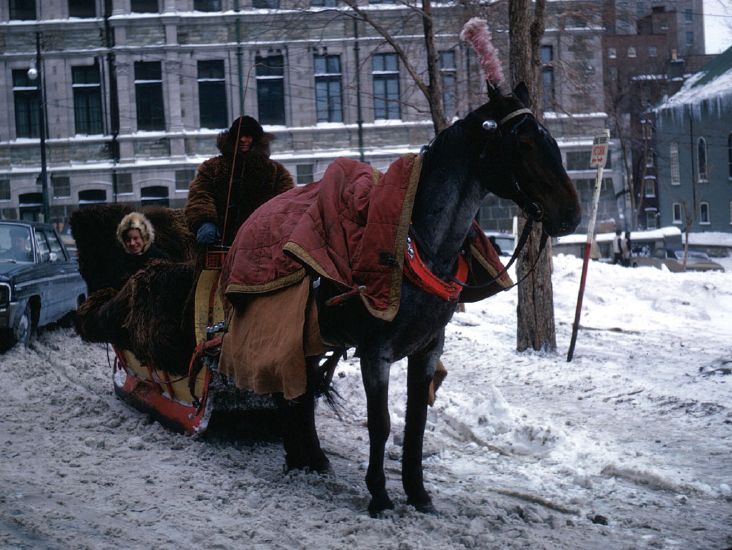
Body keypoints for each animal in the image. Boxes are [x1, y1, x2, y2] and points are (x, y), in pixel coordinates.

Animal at [272, 82, 580, 516]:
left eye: (551, 139)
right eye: (523, 142)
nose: (572, 213)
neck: (419, 247)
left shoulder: (428, 347)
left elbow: (416, 422)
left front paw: (418, 493)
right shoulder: (376, 352)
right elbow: (381, 422)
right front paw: (380, 495)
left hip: (313, 338)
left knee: (301, 393)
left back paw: (311, 456)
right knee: (287, 390)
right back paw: (296, 456)